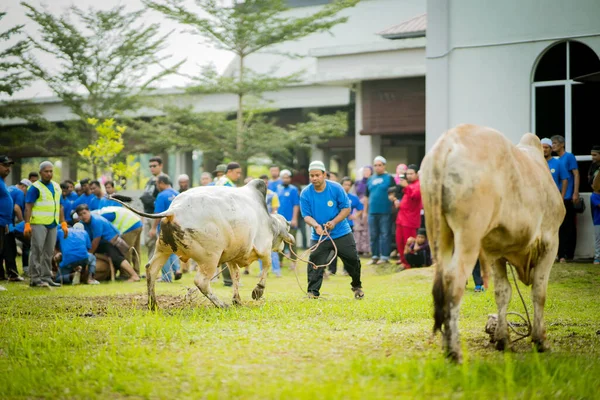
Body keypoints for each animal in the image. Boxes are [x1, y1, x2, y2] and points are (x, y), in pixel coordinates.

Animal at [113, 179, 294, 310]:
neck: (269, 222)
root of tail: (174, 210)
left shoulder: (232, 257)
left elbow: (236, 276)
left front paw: (237, 300)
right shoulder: (264, 249)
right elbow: (266, 266)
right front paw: (257, 291)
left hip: (163, 249)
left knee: (151, 269)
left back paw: (153, 305)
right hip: (210, 258)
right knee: (201, 282)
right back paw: (221, 304)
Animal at [420, 124, 564, 362]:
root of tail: (447, 142)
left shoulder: (495, 251)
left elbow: (503, 293)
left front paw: (503, 339)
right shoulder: (551, 240)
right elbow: (539, 292)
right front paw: (540, 340)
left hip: (439, 234)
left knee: (440, 281)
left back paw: (446, 346)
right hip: (468, 235)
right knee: (454, 281)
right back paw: (454, 351)